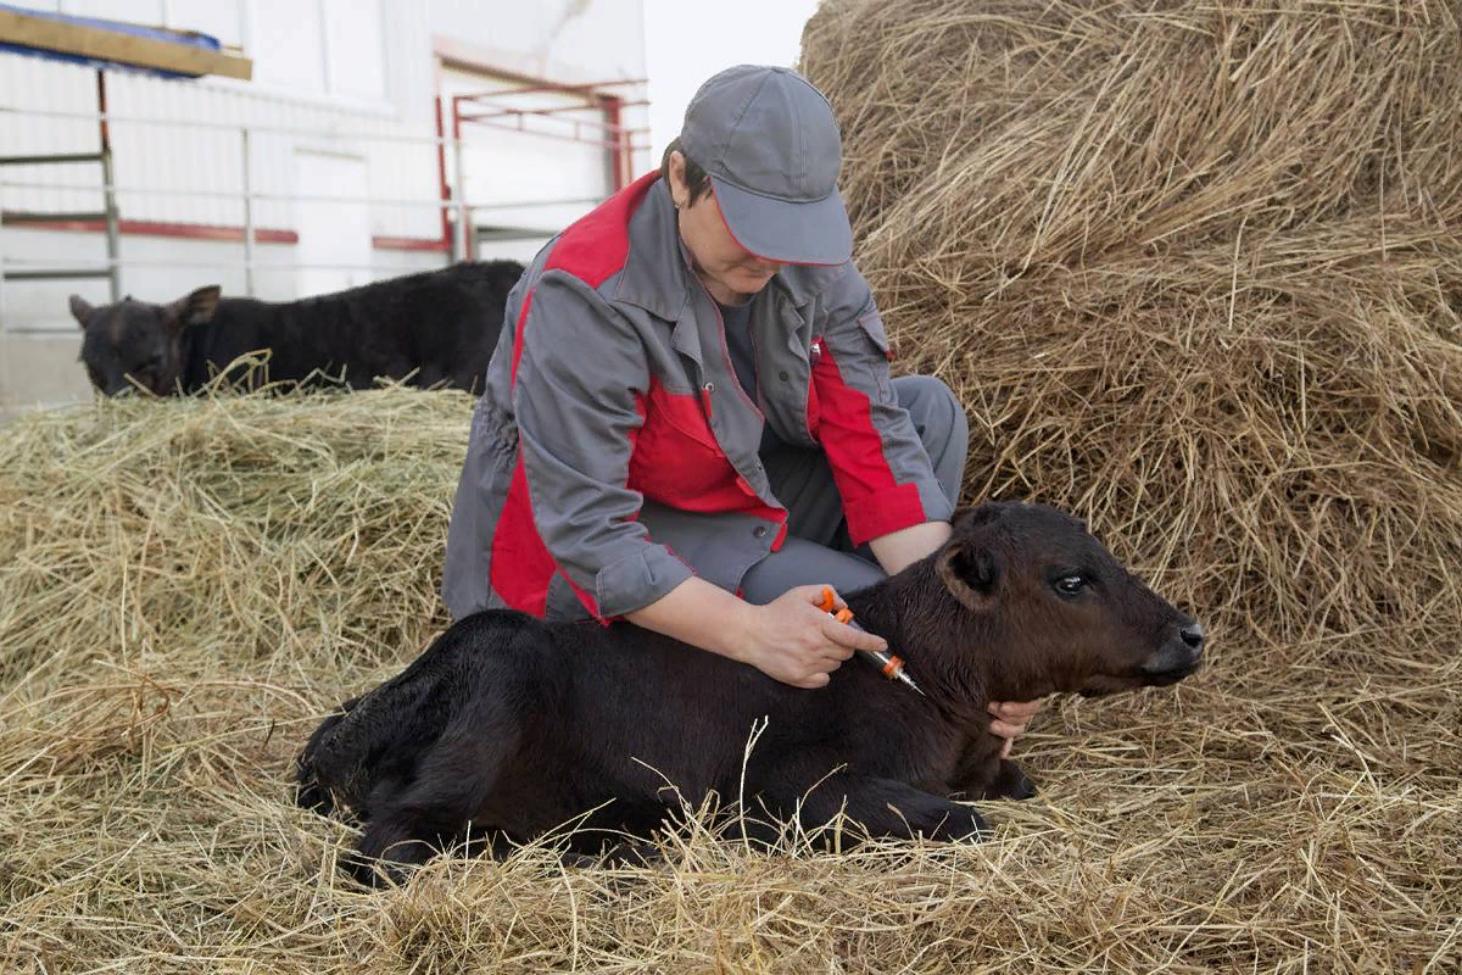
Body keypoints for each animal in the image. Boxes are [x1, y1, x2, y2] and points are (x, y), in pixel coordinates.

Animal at [293, 502, 1198, 882]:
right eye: (1072, 577)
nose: (1190, 631)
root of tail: (341, 731)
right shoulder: (785, 783)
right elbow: (963, 819)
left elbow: (1011, 783)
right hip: (490, 690)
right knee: (390, 843)